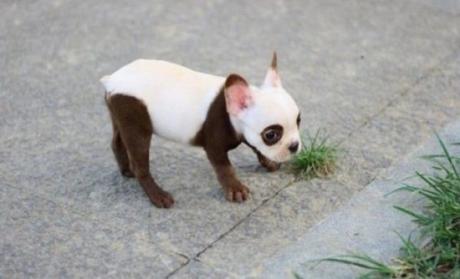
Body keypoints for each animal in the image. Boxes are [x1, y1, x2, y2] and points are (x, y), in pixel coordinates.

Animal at [101, 53, 302, 209]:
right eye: (271, 135)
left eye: (299, 121)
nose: (294, 145)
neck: (231, 112)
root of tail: (112, 79)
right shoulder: (214, 145)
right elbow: (225, 168)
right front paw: (235, 189)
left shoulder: (244, 132)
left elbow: (255, 147)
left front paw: (268, 162)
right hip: (136, 120)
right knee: (140, 161)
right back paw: (158, 196)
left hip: (120, 115)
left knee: (117, 141)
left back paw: (126, 169)